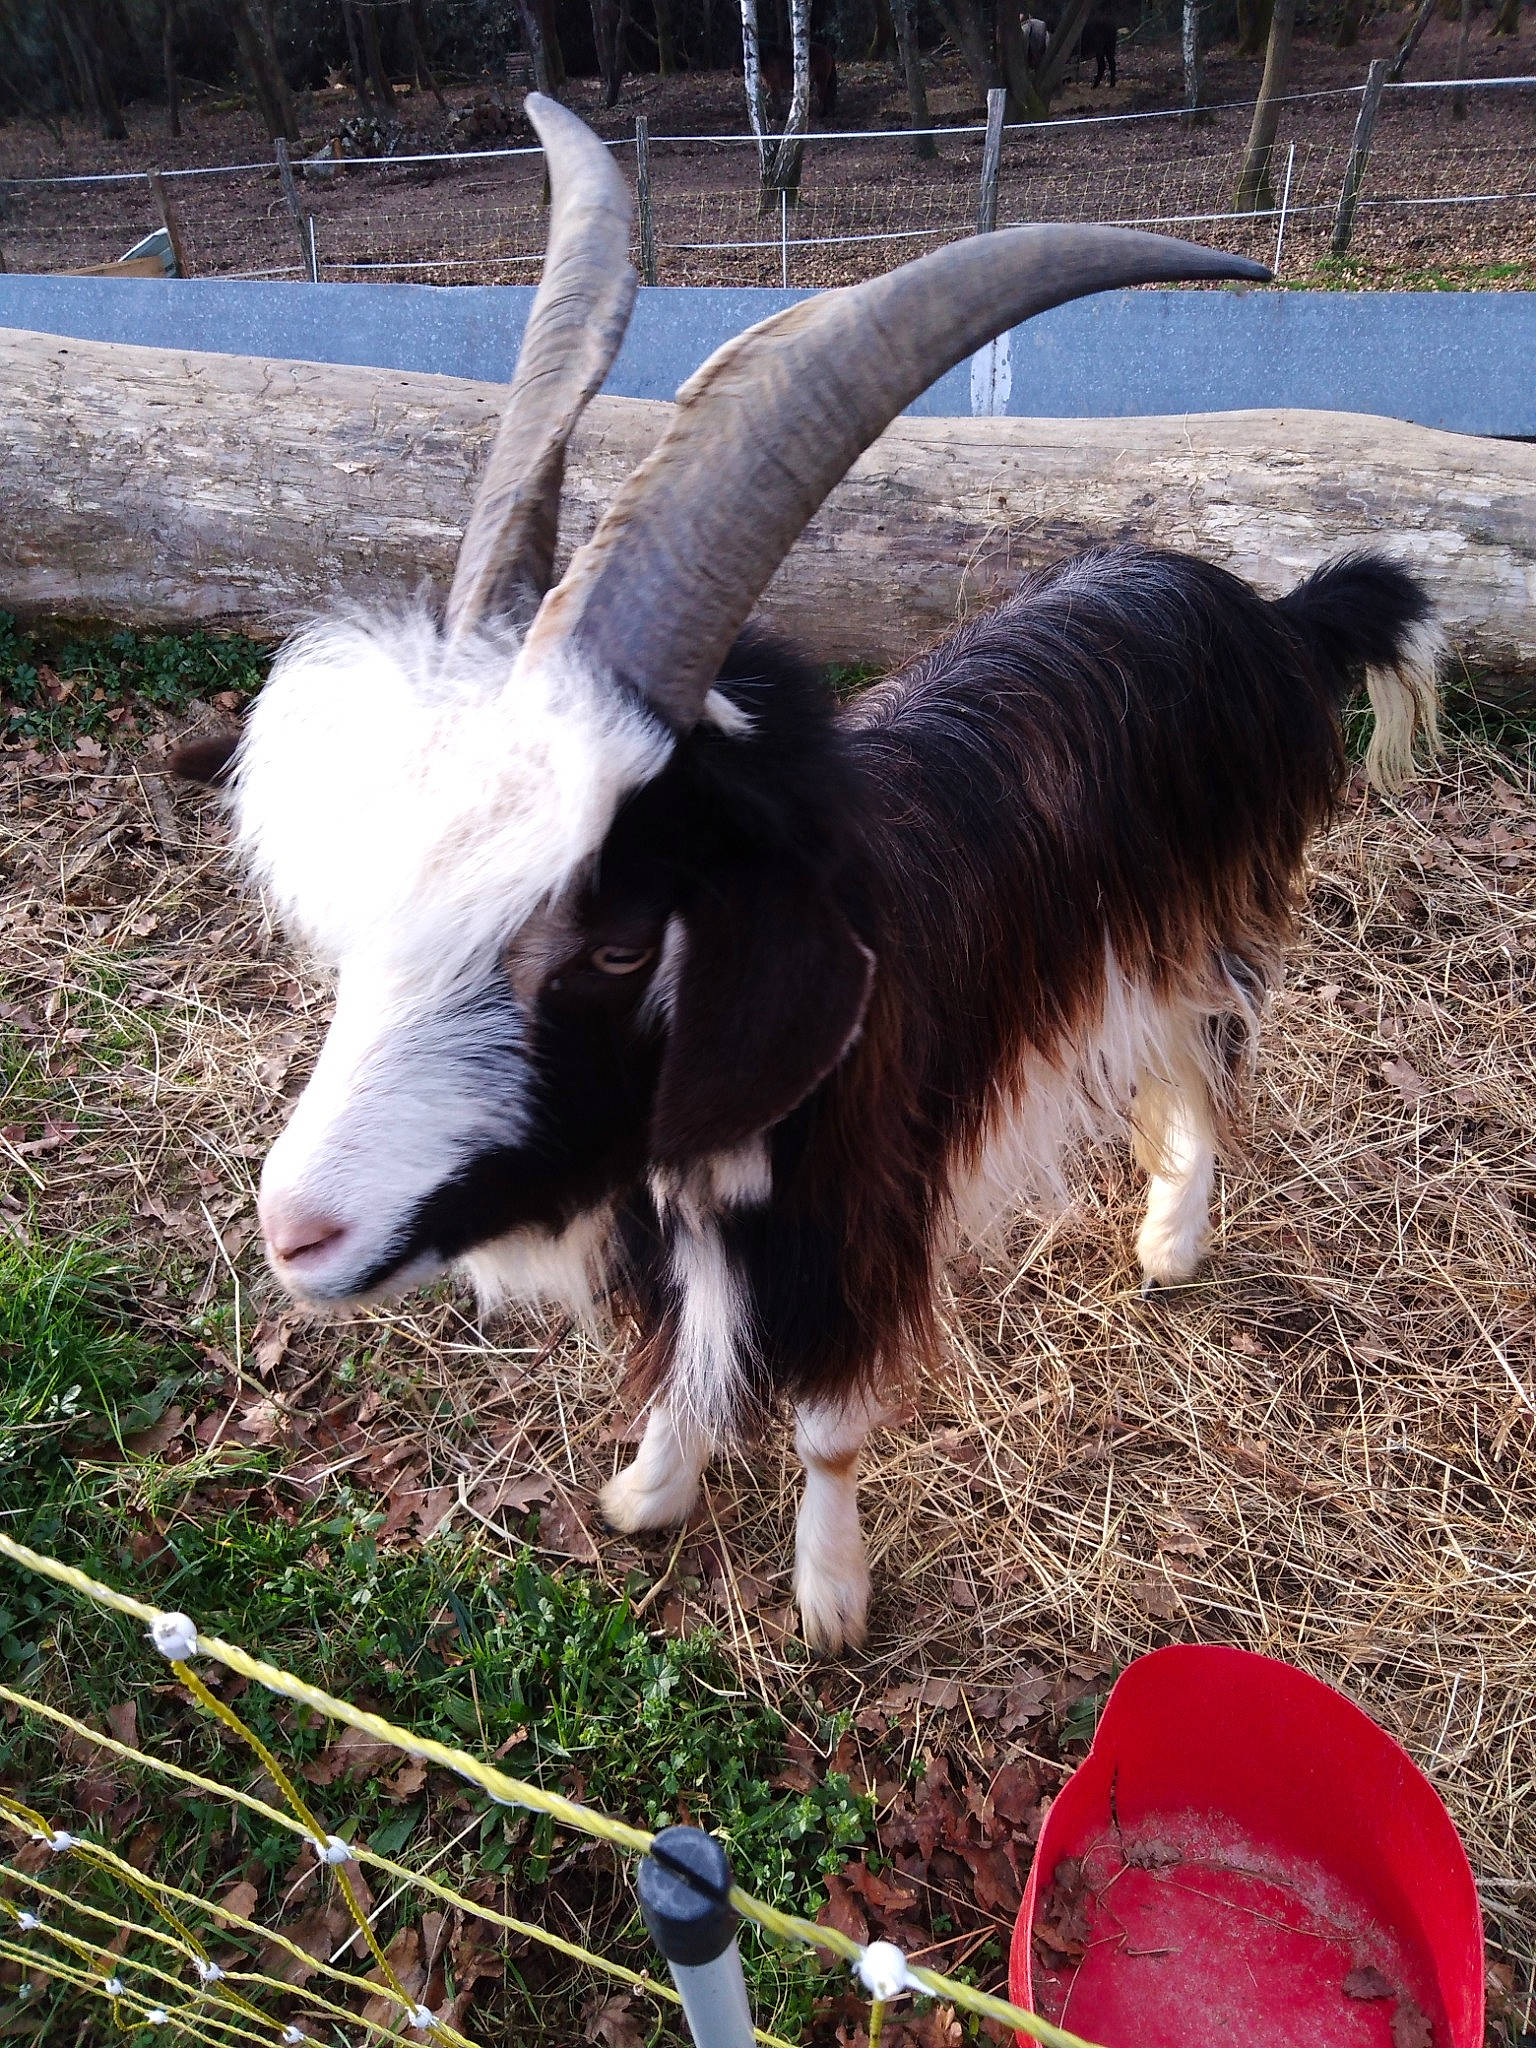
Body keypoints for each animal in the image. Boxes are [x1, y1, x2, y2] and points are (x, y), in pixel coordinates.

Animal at [186, 98, 1441, 1654]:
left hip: (1214, 906)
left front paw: (830, 1597)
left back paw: (1171, 1236)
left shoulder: (862, 1214)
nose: (296, 1233)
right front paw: (650, 1491)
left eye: (615, 944)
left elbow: (831, 1425)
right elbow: (683, 1364)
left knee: (1206, 1047)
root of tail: (1267, 611)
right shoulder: (664, 1207)